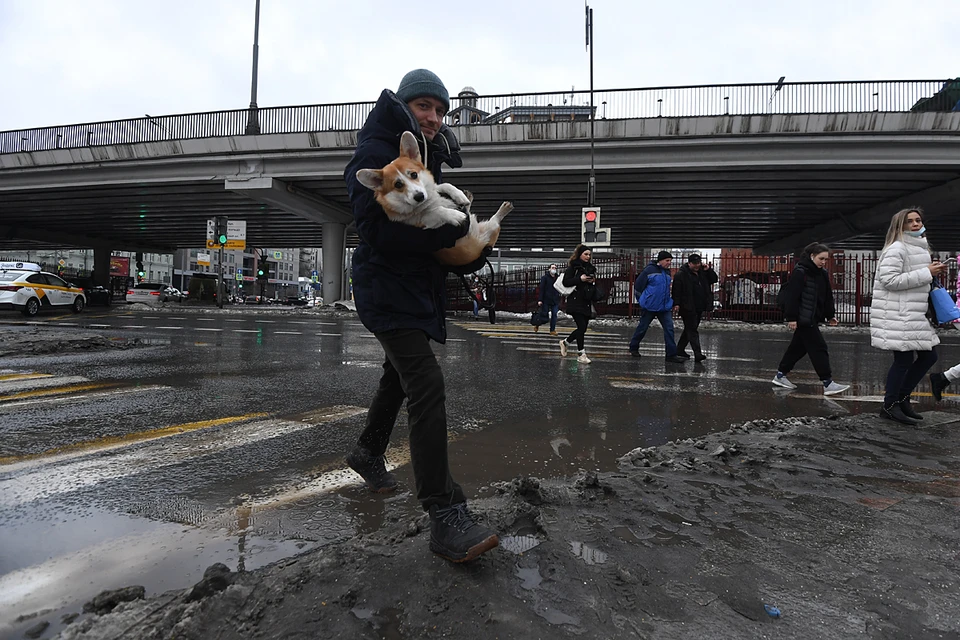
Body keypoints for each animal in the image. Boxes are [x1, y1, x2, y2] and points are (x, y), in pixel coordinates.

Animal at [356, 131, 512, 266]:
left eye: (414, 174)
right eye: (398, 185)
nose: (419, 196)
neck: (427, 202)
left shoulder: (433, 190)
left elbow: (444, 185)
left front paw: (459, 195)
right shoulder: (424, 224)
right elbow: (436, 211)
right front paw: (454, 215)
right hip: (491, 229)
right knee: (495, 221)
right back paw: (503, 209)